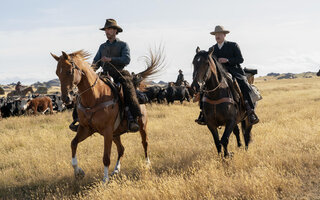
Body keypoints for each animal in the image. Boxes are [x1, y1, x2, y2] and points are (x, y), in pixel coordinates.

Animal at [51, 49, 164, 181]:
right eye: (57, 73)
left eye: (69, 71)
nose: (66, 98)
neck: (95, 97)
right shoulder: (86, 129)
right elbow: (73, 144)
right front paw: (78, 172)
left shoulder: (107, 130)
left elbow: (106, 157)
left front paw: (105, 180)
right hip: (116, 134)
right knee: (121, 149)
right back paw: (116, 170)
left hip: (142, 126)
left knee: (145, 143)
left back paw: (147, 164)